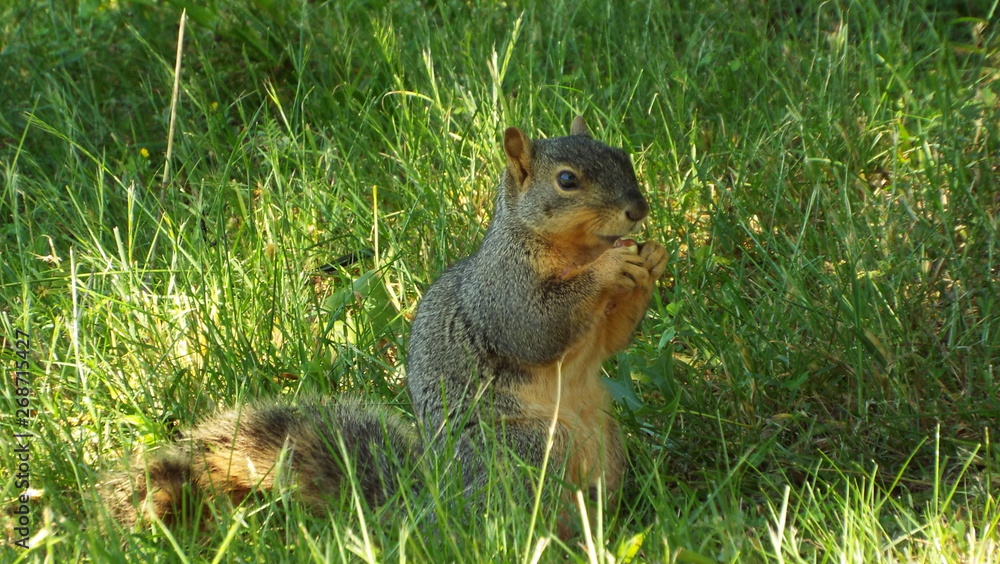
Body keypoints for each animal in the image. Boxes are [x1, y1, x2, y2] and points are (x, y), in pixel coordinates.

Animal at [103, 116, 666, 533]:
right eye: (567, 180)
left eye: (622, 154)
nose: (638, 209)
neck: (573, 250)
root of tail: (445, 511)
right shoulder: (502, 291)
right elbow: (537, 328)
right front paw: (614, 266)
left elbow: (611, 340)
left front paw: (652, 259)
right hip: (524, 453)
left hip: (605, 445)